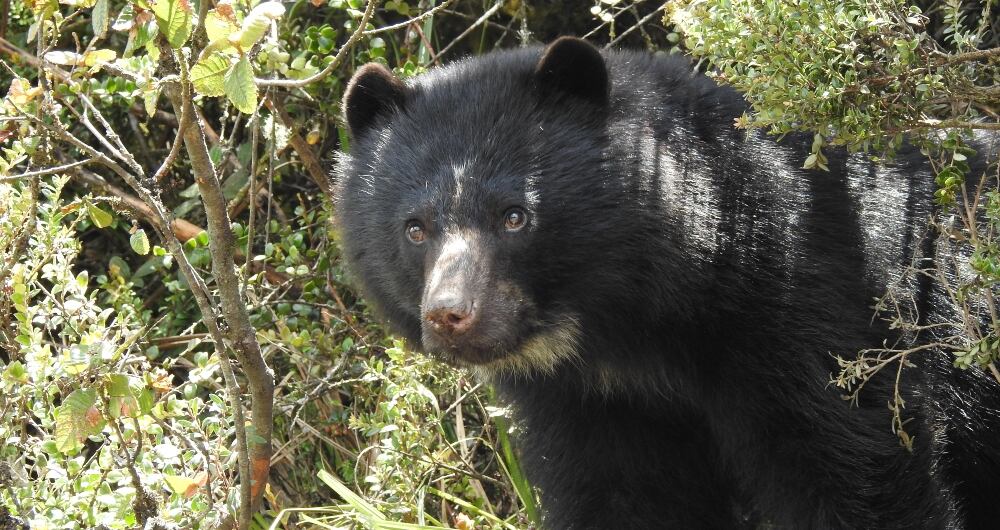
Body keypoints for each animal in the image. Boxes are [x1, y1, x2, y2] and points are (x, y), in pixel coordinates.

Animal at [333, 37, 1000, 529]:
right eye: (415, 228)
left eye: (514, 216)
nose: (450, 315)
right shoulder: (595, 404)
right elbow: (624, 496)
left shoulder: (820, 312)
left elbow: (857, 472)